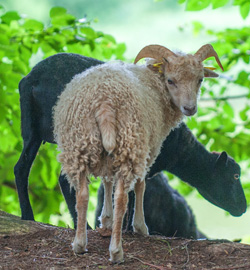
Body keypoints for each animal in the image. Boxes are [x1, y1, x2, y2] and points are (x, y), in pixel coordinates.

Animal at [14, 52, 247, 228]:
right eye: (235, 175)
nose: (243, 208)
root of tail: (32, 78)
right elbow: (130, 198)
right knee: (64, 179)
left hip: (31, 131)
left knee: (21, 168)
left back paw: (28, 216)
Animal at [52, 43, 223, 262]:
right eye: (170, 80)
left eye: (200, 79)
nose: (190, 108)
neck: (156, 84)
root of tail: (104, 101)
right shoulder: (150, 147)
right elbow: (141, 185)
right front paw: (140, 226)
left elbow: (107, 180)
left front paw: (105, 220)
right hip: (129, 143)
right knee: (122, 197)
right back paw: (116, 251)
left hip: (79, 145)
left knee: (82, 195)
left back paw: (80, 244)